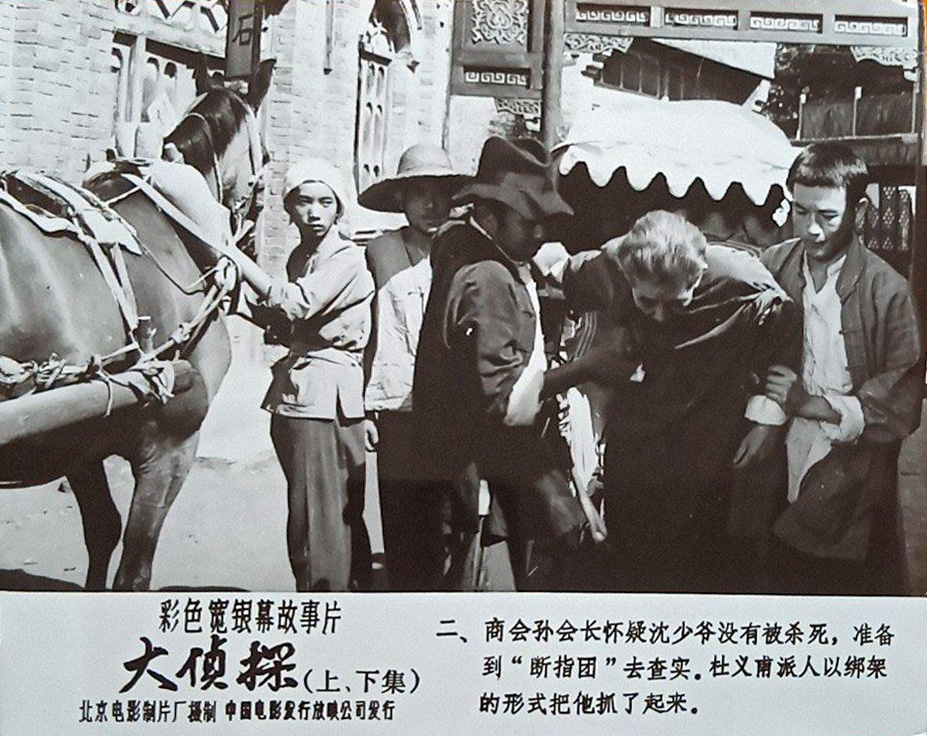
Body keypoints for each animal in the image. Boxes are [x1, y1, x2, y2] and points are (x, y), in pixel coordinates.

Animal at [0, 60, 273, 591]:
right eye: (267, 159)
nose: (252, 248)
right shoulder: (172, 444)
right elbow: (135, 567)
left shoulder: (85, 431)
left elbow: (102, 529)